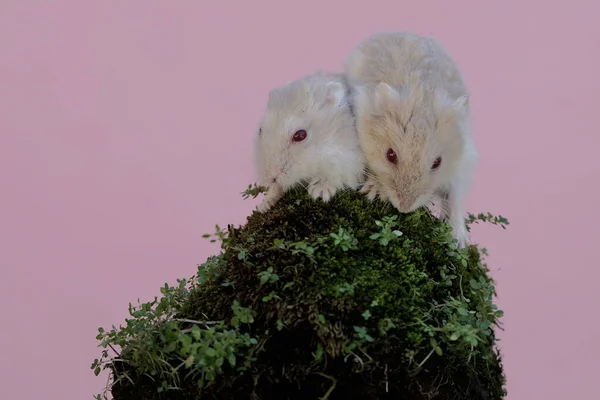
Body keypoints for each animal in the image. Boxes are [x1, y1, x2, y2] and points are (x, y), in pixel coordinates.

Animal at [253, 71, 366, 212]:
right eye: (260, 130)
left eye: (300, 135)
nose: (271, 178)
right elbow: (277, 189)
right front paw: (263, 206)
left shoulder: (350, 161)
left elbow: (335, 175)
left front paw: (319, 192)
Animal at [346, 31, 478, 247]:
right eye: (390, 155)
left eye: (437, 162)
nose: (404, 208)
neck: (423, 96)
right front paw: (373, 192)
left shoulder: (463, 164)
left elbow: (455, 200)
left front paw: (459, 242)